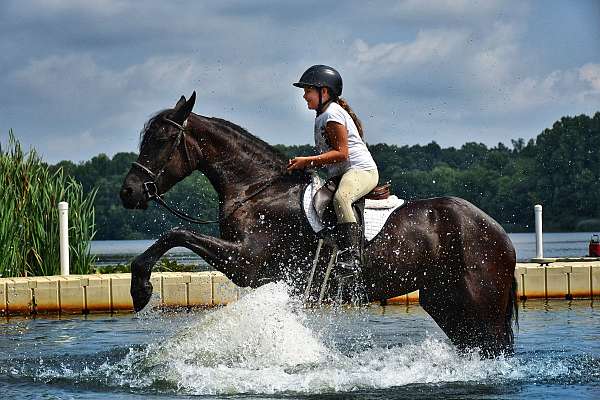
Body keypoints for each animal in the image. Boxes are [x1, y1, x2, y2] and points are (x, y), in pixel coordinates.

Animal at [120, 93, 516, 356]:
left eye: (161, 140)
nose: (129, 192)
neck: (257, 190)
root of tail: (498, 232)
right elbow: (176, 234)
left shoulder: (246, 262)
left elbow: (175, 233)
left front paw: (140, 289)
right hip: (445, 300)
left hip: (481, 299)